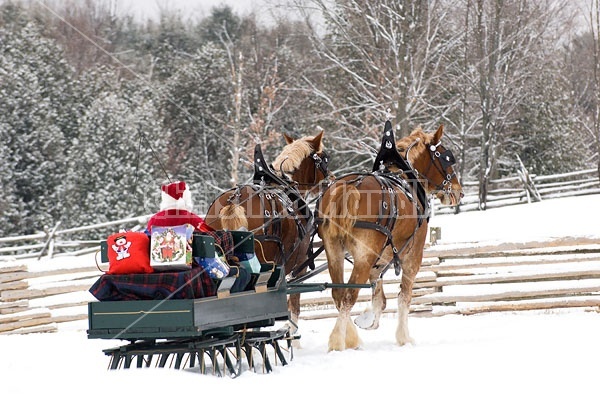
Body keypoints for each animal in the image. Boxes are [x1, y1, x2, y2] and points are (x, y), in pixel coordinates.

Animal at [204, 131, 330, 332]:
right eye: (325, 159)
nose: (331, 179)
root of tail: (235, 200)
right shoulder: (300, 262)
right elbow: (294, 301)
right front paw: (292, 332)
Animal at [316, 121, 462, 352]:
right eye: (446, 158)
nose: (459, 191)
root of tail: (347, 187)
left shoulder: (380, 257)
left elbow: (379, 296)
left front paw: (368, 319)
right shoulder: (413, 255)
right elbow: (404, 297)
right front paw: (404, 337)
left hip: (334, 252)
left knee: (338, 295)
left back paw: (348, 337)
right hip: (363, 257)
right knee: (349, 296)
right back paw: (339, 341)